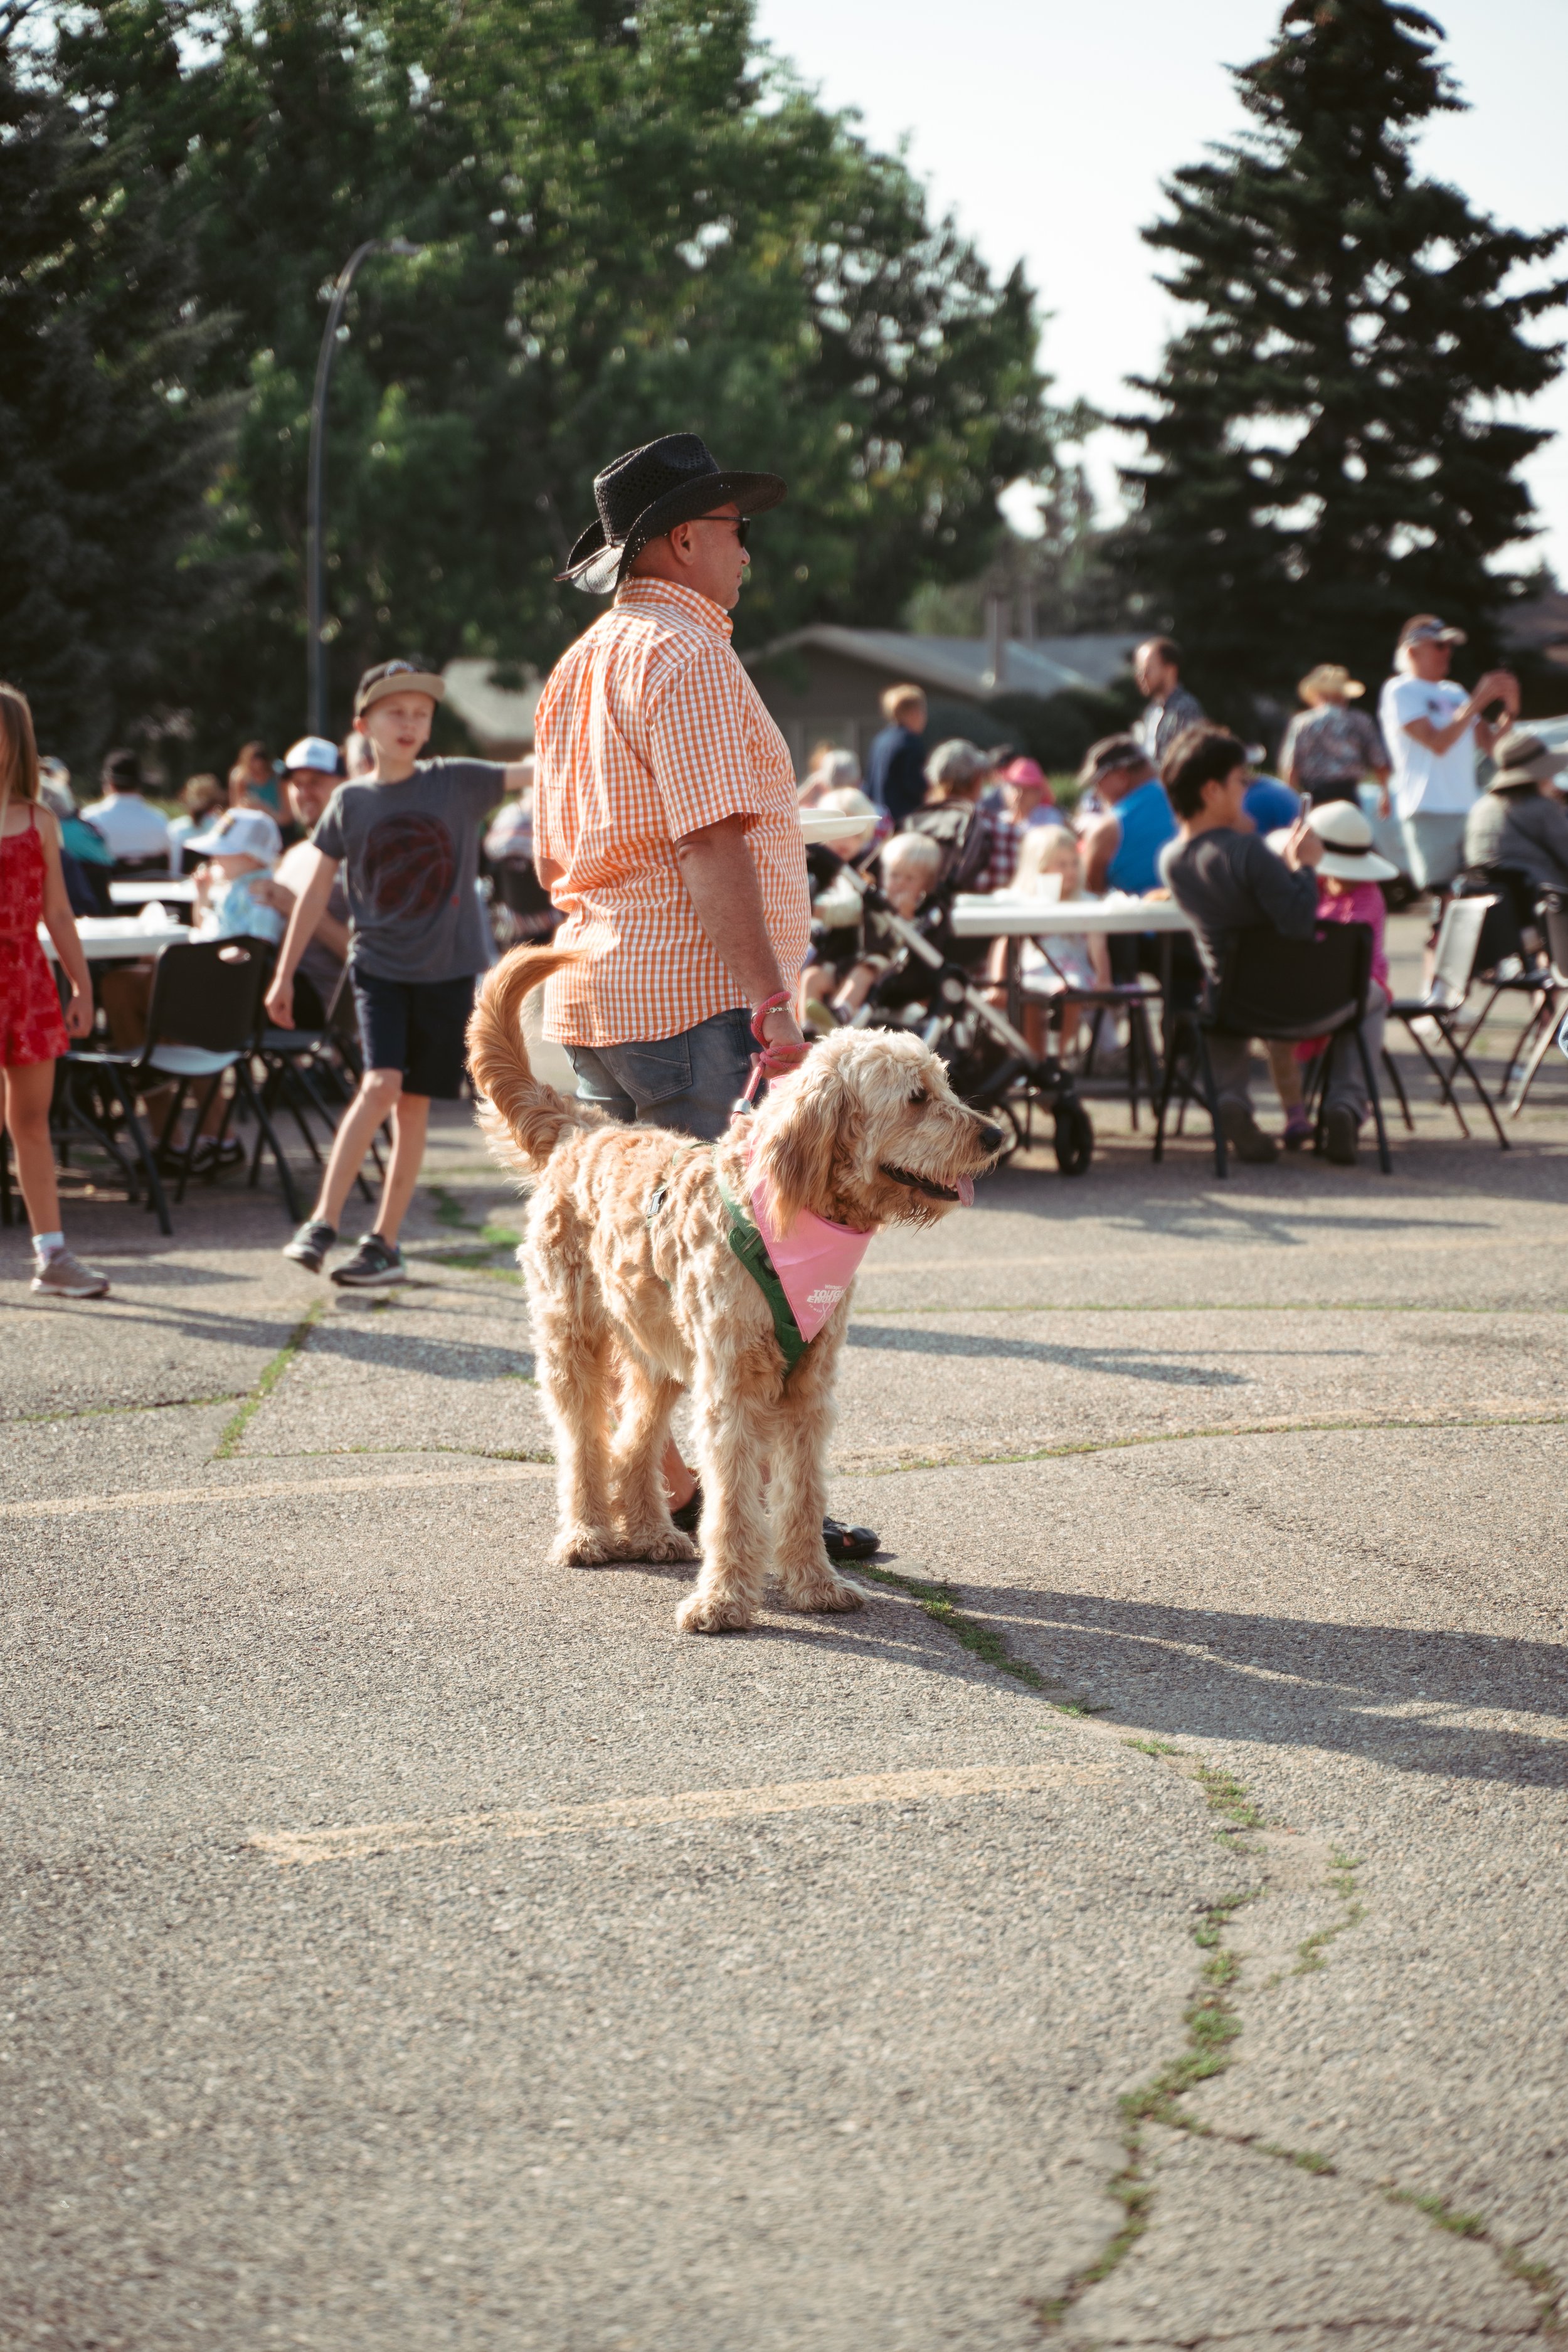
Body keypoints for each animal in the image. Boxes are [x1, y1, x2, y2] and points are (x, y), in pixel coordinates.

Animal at [470, 945, 1006, 1628]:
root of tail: (582, 1127)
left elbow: (801, 1495)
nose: (995, 1136)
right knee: (584, 1442)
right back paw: (587, 1534)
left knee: (634, 1441)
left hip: (657, 1352)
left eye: (944, 1084)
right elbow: (731, 1503)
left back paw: (651, 1531)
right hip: (574, 1343)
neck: (786, 1213)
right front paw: (723, 1599)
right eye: (915, 1097)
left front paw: (814, 1583)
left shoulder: (808, 1390)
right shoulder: (731, 1388)